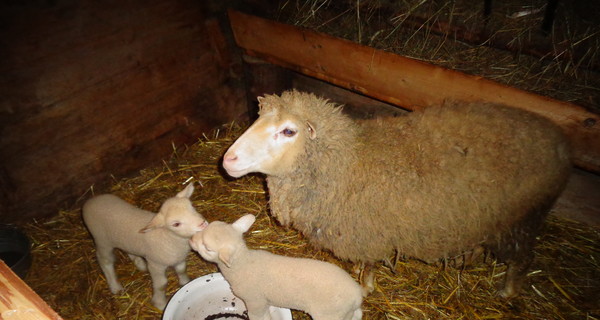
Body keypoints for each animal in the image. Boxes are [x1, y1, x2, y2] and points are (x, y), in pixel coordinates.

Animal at [82, 182, 209, 310]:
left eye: (192, 207)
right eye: (176, 224)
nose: (203, 224)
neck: (167, 236)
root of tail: (89, 202)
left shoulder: (179, 258)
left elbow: (182, 270)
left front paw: (185, 283)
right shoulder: (155, 264)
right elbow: (161, 284)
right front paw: (160, 304)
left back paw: (140, 264)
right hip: (102, 240)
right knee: (105, 260)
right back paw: (115, 286)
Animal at [190, 214, 364, 320]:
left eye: (207, 248)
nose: (191, 239)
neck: (242, 264)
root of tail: (357, 295)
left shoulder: (255, 300)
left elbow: (258, 316)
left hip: (329, 314)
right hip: (346, 312)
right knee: (357, 315)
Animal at [221, 89, 572, 298]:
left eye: (288, 131)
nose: (228, 159)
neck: (348, 162)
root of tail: (559, 140)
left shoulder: (369, 233)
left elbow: (369, 265)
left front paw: (365, 287)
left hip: (523, 218)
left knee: (523, 259)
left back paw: (507, 292)